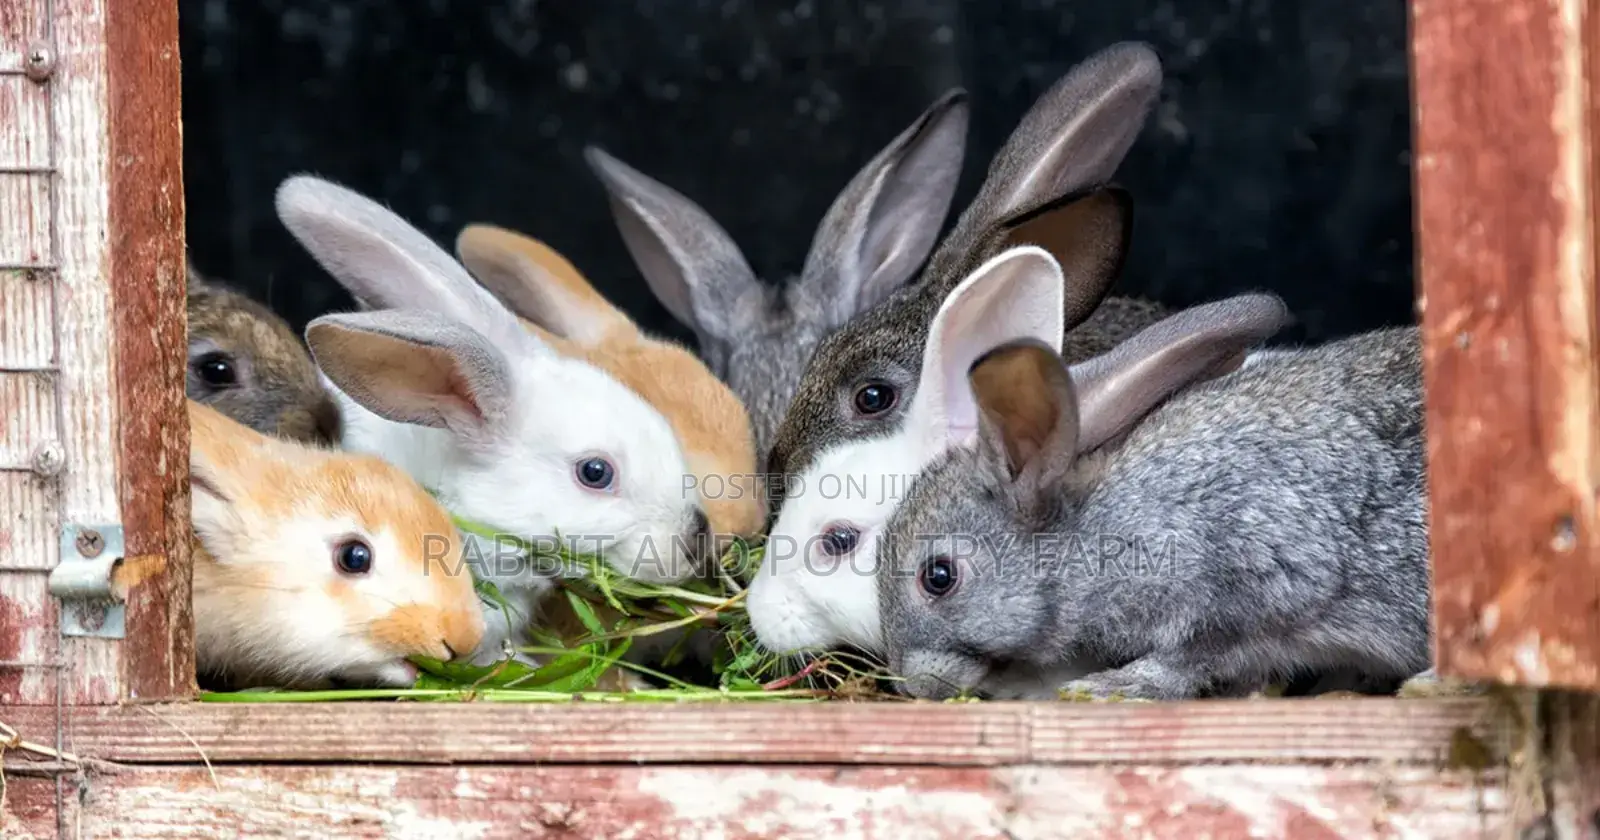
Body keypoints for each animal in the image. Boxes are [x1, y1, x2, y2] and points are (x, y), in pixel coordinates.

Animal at [874, 295, 1432, 701]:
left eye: (938, 577)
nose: (911, 685)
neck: (1094, 532)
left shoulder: (1242, 589)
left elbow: (1185, 660)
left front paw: (1110, 686)